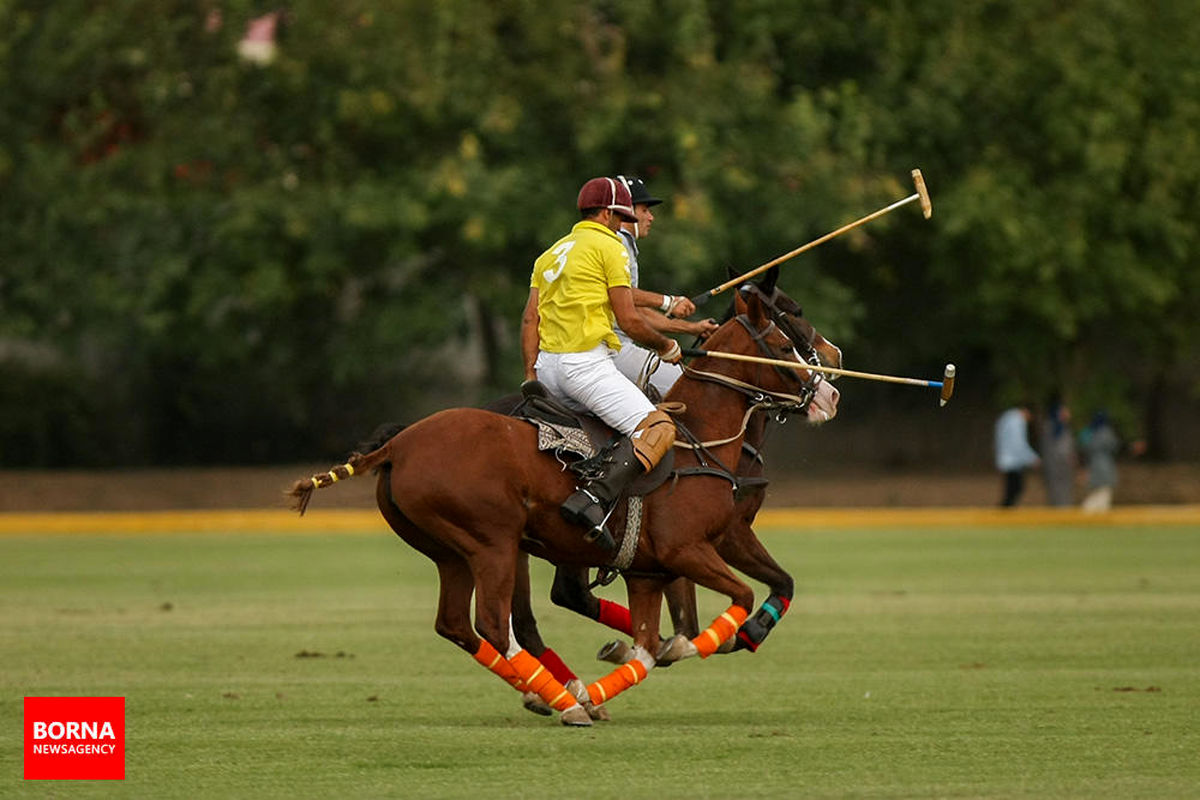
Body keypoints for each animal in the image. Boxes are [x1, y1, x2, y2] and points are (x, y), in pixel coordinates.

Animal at [290, 287, 830, 724]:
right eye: (788, 340)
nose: (824, 390)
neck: (698, 440)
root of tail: (397, 446)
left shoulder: (650, 570)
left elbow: (650, 644)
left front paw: (618, 672)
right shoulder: (688, 550)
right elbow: (733, 602)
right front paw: (716, 639)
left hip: (452, 552)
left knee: (460, 625)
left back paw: (560, 694)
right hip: (493, 543)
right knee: (497, 623)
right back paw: (565, 702)